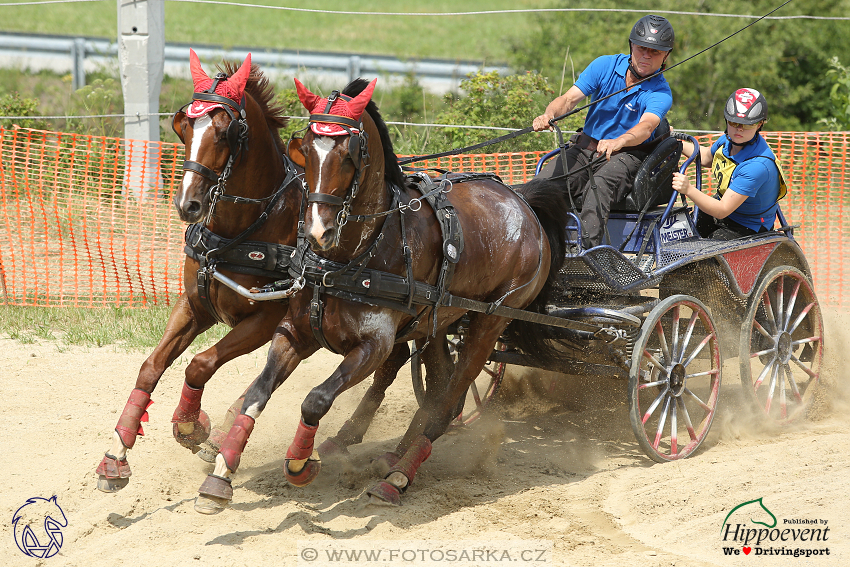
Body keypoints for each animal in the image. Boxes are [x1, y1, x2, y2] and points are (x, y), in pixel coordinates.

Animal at [191, 77, 564, 512]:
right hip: (437, 322)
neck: (352, 254)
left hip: (490, 323)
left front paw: (300, 464)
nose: (316, 231)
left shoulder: (374, 345)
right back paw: (393, 456)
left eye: (348, 154)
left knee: (447, 401)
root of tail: (524, 205)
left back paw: (398, 476)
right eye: (307, 150)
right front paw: (221, 475)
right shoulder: (294, 332)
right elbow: (257, 393)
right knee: (441, 393)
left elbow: (316, 400)